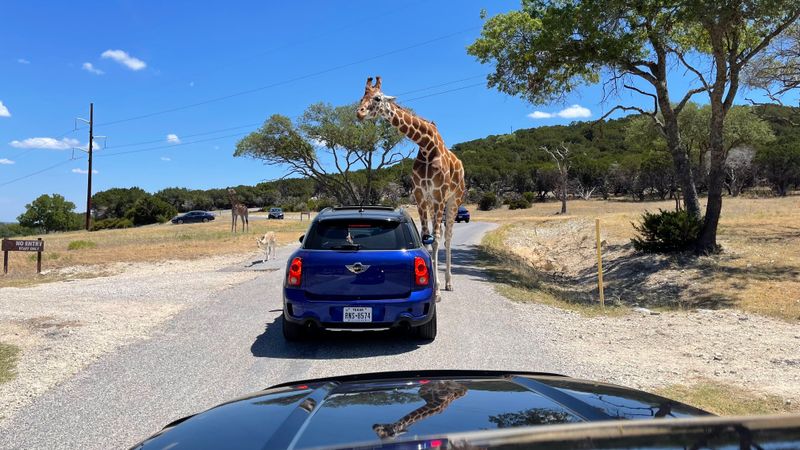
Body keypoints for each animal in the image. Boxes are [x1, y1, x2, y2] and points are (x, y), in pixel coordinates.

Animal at [356, 76, 465, 292]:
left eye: (378, 98)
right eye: (361, 96)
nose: (359, 112)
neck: (426, 146)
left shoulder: (439, 194)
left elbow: (436, 239)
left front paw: (437, 288)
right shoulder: (420, 194)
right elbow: (425, 237)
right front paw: (432, 283)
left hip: (454, 200)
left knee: (448, 236)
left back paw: (448, 283)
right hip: (433, 202)